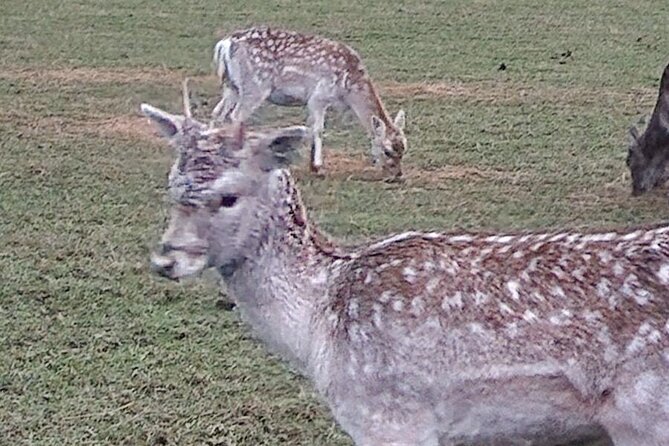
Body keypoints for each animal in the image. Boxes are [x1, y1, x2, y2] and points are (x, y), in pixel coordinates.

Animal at [210, 25, 408, 179]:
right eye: (387, 150)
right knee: (236, 116)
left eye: (404, 149)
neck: (348, 90)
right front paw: (319, 167)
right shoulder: (318, 96)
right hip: (255, 86)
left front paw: (312, 165)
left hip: (231, 87)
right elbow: (318, 129)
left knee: (217, 113)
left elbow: (312, 127)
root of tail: (224, 44)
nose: (398, 175)